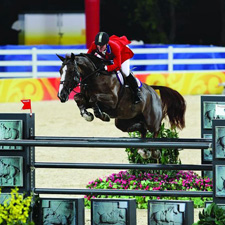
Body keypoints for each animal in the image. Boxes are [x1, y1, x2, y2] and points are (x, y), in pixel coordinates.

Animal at [56, 53, 186, 159]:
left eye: (71, 71)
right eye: (60, 71)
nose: (61, 95)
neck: (95, 77)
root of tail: (153, 90)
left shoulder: (112, 100)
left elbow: (94, 99)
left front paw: (101, 115)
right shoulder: (86, 98)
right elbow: (79, 98)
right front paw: (87, 115)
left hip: (152, 120)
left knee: (155, 131)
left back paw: (154, 152)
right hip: (122, 122)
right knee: (141, 129)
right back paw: (143, 150)